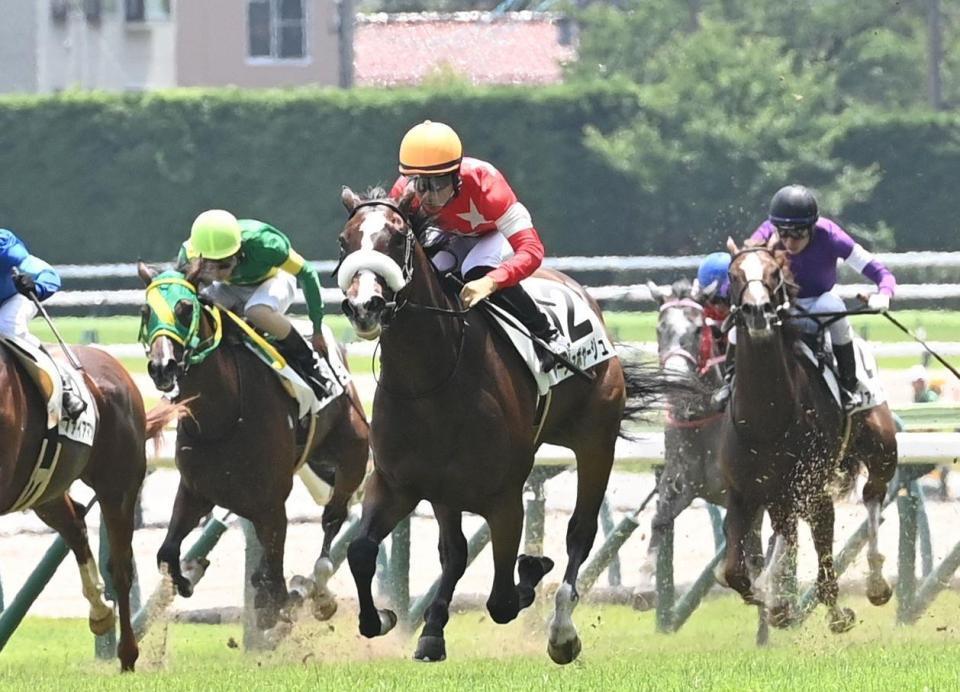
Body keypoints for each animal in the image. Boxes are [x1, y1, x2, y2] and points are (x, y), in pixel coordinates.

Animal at [0, 336, 177, 671]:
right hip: (47, 490)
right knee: (75, 525)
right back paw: (100, 612)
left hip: (117, 487)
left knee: (120, 568)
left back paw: (127, 653)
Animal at [137, 263, 370, 633]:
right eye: (146, 311)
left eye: (185, 309)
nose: (162, 367)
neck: (223, 413)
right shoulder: (195, 491)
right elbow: (168, 553)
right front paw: (189, 575)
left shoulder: (271, 504)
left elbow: (276, 583)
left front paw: (281, 601)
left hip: (352, 458)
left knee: (333, 519)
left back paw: (319, 589)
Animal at [335, 187, 670, 664]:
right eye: (345, 242)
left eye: (397, 240)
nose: (365, 306)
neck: (432, 377)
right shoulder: (397, 482)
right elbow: (362, 550)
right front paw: (380, 618)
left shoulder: (505, 497)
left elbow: (502, 600)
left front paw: (532, 567)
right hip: (447, 490)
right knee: (453, 553)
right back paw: (432, 632)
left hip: (595, 441)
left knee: (579, 532)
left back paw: (561, 630)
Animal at [719, 237, 898, 632]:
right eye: (733, 275)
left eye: (774, 272)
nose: (758, 311)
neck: (767, 420)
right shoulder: (742, 493)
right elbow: (733, 572)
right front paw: (774, 602)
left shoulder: (815, 490)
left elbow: (824, 552)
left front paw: (835, 612)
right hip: (780, 495)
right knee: (786, 530)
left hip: (882, 449)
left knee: (873, 495)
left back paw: (877, 582)